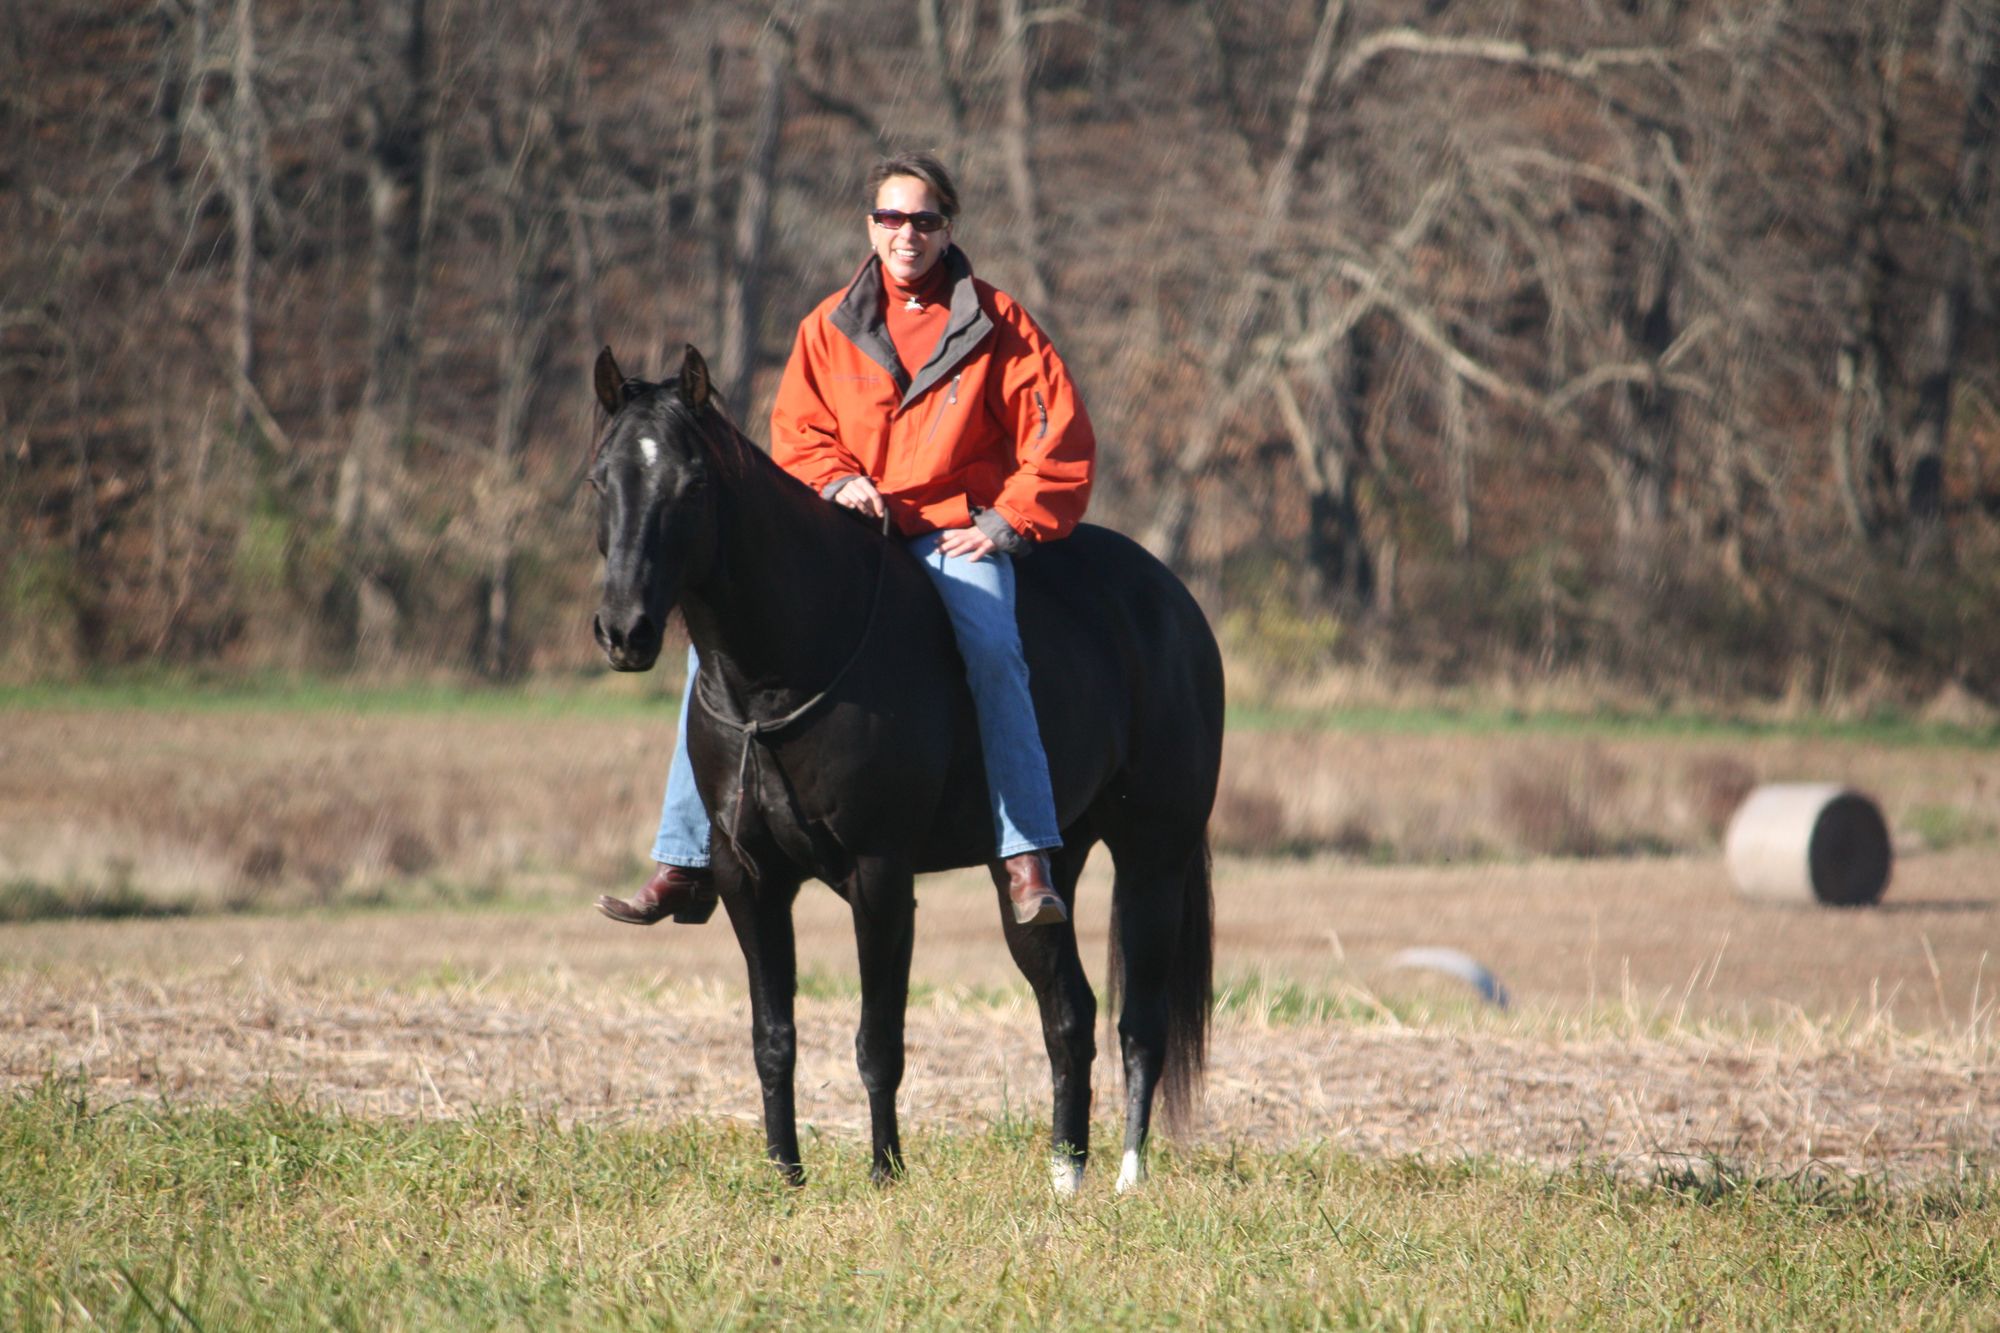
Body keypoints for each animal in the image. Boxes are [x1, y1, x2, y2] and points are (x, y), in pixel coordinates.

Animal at [587, 343, 1224, 1194]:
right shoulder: (747, 877)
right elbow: (773, 1036)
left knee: (1140, 1022)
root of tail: (1175, 602)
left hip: (1153, 860)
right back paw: (1066, 1175)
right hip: (1042, 867)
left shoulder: (881, 873)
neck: (788, 662)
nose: (624, 630)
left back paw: (1126, 1175)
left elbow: (878, 1039)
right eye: (602, 478)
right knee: (1069, 1012)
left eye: (692, 483)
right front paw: (786, 1175)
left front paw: (885, 1171)